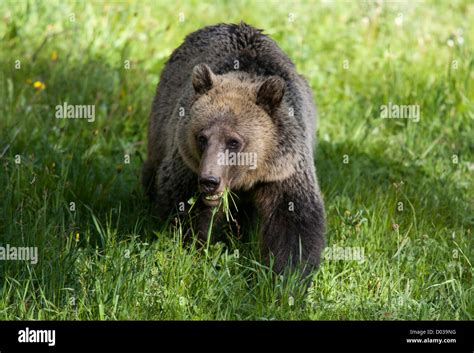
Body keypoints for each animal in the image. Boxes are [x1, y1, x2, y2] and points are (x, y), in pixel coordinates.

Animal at [143, 23, 324, 274]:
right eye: (202, 137)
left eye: (234, 142)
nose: (209, 181)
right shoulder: (187, 164)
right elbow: (183, 208)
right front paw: (193, 248)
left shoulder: (283, 171)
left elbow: (294, 222)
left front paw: (288, 273)